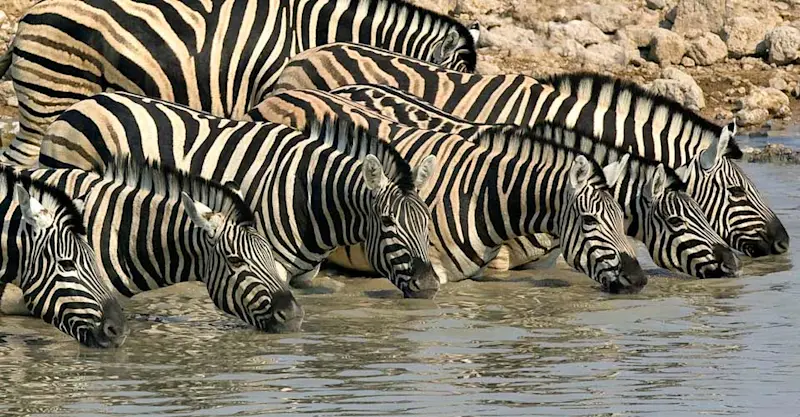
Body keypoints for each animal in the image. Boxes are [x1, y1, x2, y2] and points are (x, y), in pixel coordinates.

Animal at [39, 92, 441, 299]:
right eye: (388, 221)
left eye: (426, 222)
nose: (429, 286)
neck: (307, 194)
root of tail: (84, 102)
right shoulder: (267, 261)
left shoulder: (303, 275)